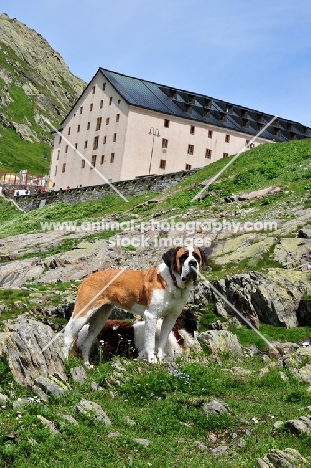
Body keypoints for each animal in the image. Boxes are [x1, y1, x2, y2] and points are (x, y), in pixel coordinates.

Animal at [63, 245, 207, 366]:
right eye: (183, 257)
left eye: (196, 257)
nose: (193, 262)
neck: (173, 282)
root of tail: (88, 278)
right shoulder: (151, 316)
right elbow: (150, 342)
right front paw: (152, 361)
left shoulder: (171, 317)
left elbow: (162, 340)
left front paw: (161, 358)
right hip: (83, 314)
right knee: (68, 337)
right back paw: (66, 361)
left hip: (100, 319)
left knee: (87, 343)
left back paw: (87, 365)